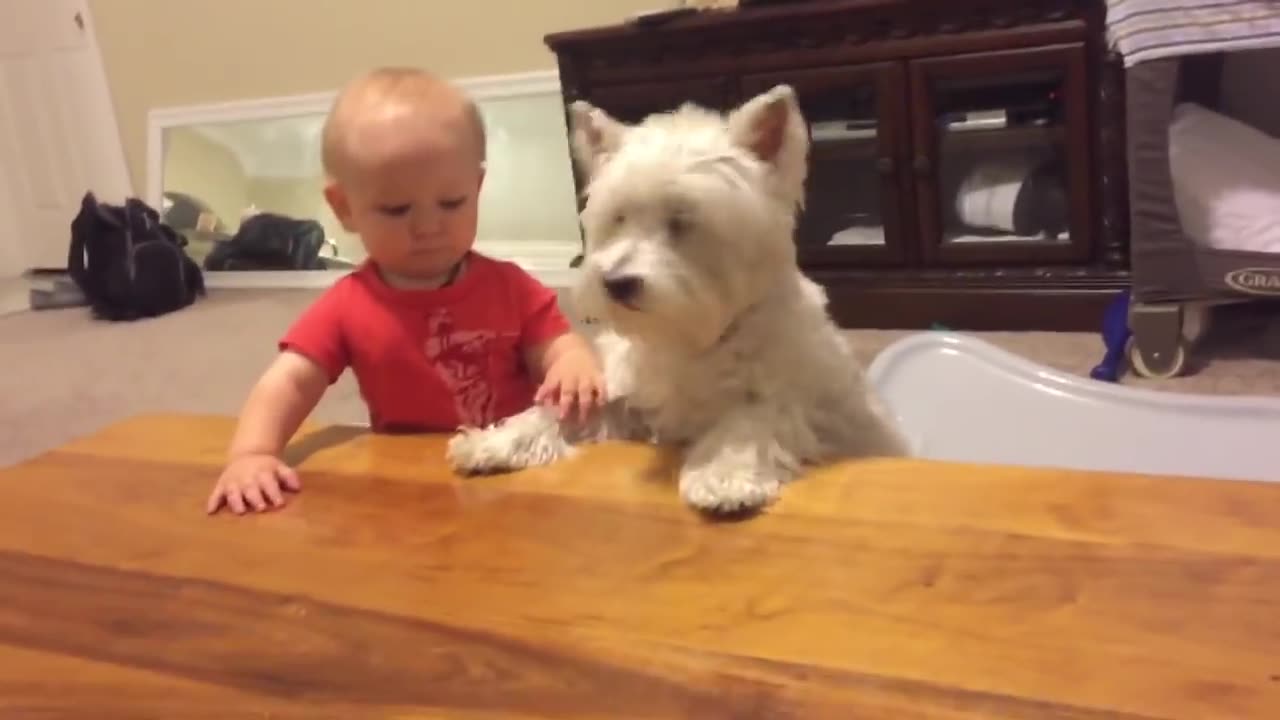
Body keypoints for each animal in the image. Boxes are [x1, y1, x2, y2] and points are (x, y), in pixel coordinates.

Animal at [450, 82, 911, 509]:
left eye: (683, 220)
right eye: (618, 217)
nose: (616, 283)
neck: (688, 338)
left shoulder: (790, 400)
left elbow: (749, 421)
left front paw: (725, 478)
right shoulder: (627, 400)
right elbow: (562, 410)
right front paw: (492, 442)